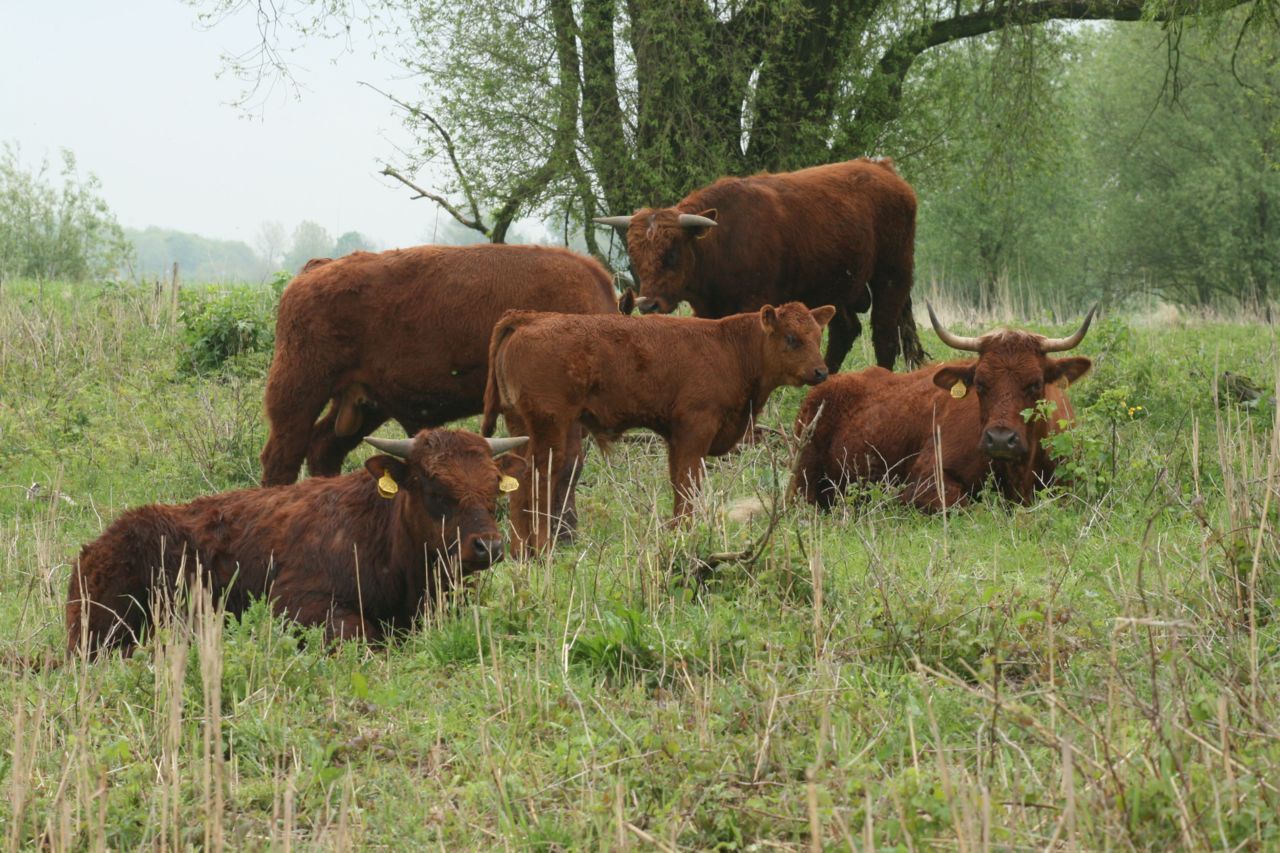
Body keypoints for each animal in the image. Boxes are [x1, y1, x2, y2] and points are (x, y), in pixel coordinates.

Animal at [63, 427, 524, 653]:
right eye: (434, 487)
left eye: (494, 488)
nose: (488, 546)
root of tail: (95, 549)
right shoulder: (297, 605)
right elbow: (364, 634)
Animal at [478, 302, 829, 548]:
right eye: (792, 338)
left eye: (817, 336)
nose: (821, 371)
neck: (731, 348)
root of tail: (529, 317)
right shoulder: (695, 430)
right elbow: (688, 485)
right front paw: (686, 534)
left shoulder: (675, 437)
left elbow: (679, 484)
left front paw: (677, 532)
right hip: (550, 427)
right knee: (539, 479)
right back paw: (541, 548)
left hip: (521, 425)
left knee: (520, 480)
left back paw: (521, 551)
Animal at [593, 157, 926, 371]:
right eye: (634, 255)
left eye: (671, 253)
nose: (647, 305)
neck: (722, 242)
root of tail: (881, 168)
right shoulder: (707, 311)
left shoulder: (754, 303)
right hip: (839, 286)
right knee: (845, 331)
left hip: (892, 275)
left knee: (884, 334)